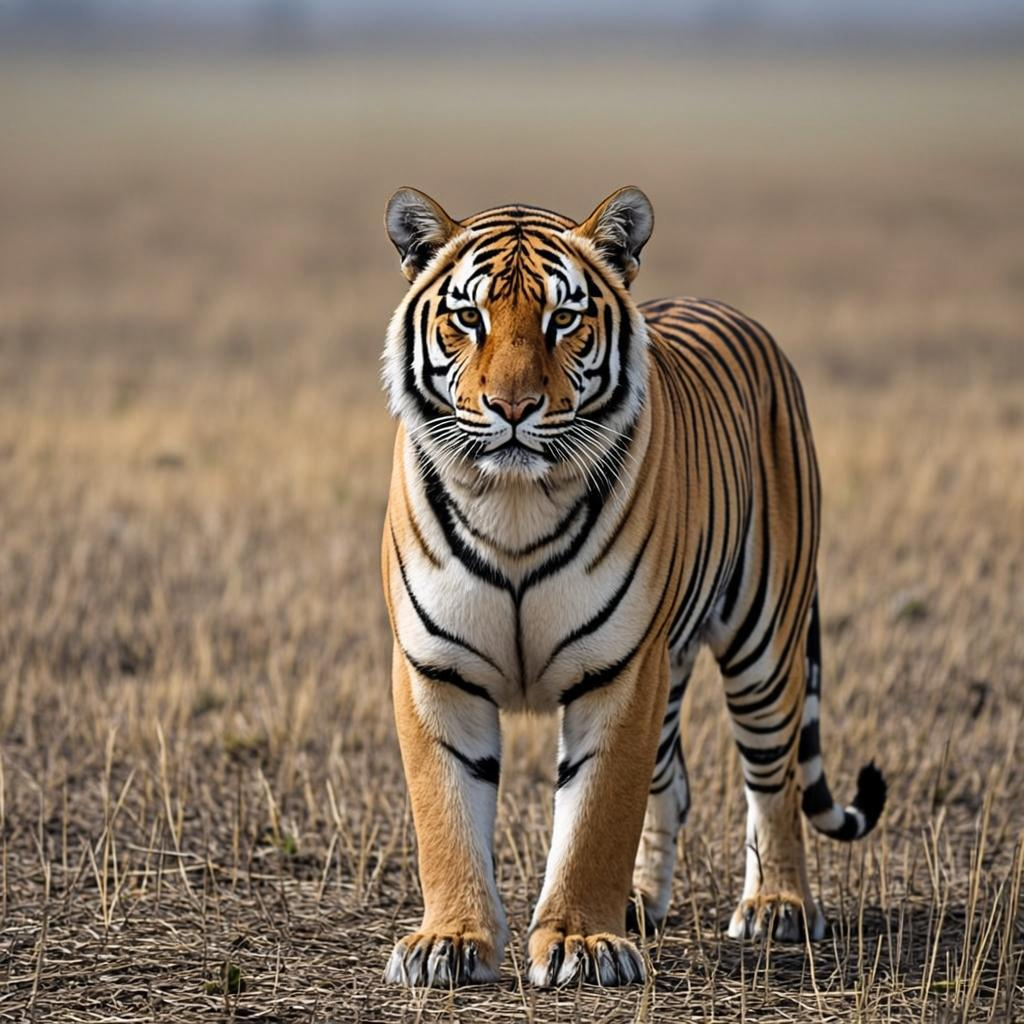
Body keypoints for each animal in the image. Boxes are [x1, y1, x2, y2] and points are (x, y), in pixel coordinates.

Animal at [379, 186, 886, 988]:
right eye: (469, 318)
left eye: (562, 319)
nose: (513, 407)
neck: (513, 505)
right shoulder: (436, 668)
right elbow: (446, 814)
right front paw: (449, 943)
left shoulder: (619, 671)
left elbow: (597, 815)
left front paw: (582, 944)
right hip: (675, 663)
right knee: (673, 782)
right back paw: (643, 903)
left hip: (762, 641)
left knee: (772, 780)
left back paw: (776, 906)